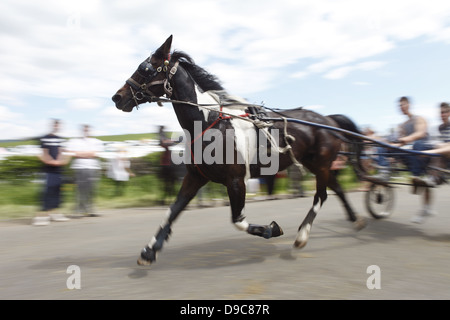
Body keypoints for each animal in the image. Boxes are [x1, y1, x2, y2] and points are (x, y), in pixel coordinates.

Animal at [111, 35, 366, 266]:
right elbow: (172, 211)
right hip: (316, 164)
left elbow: (238, 220)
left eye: (145, 68)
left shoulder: (236, 180)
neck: (208, 121)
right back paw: (355, 219)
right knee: (337, 188)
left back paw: (302, 235)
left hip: (320, 164)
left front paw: (270, 229)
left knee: (321, 195)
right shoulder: (195, 177)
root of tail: (327, 119)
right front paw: (150, 250)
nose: (117, 97)